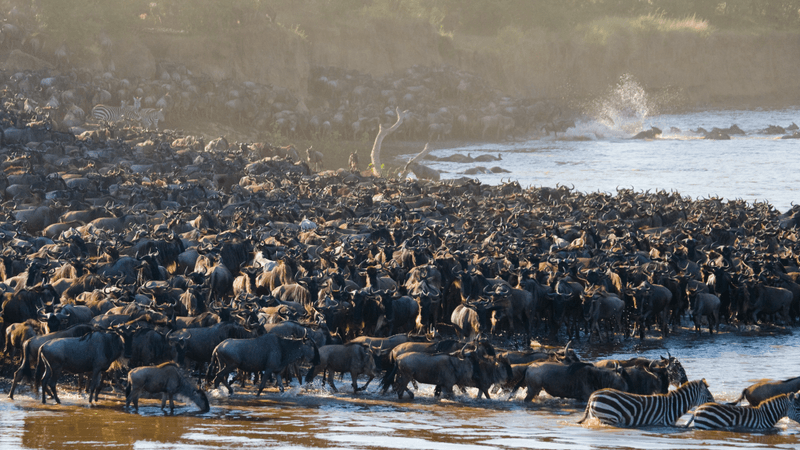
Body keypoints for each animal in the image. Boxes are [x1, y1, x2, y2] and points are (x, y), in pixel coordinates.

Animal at [580, 378, 716, 428]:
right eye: (709, 397)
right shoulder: (662, 423)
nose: (715, 406)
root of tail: (593, 395)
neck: (673, 406)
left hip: (597, 416)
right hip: (609, 417)